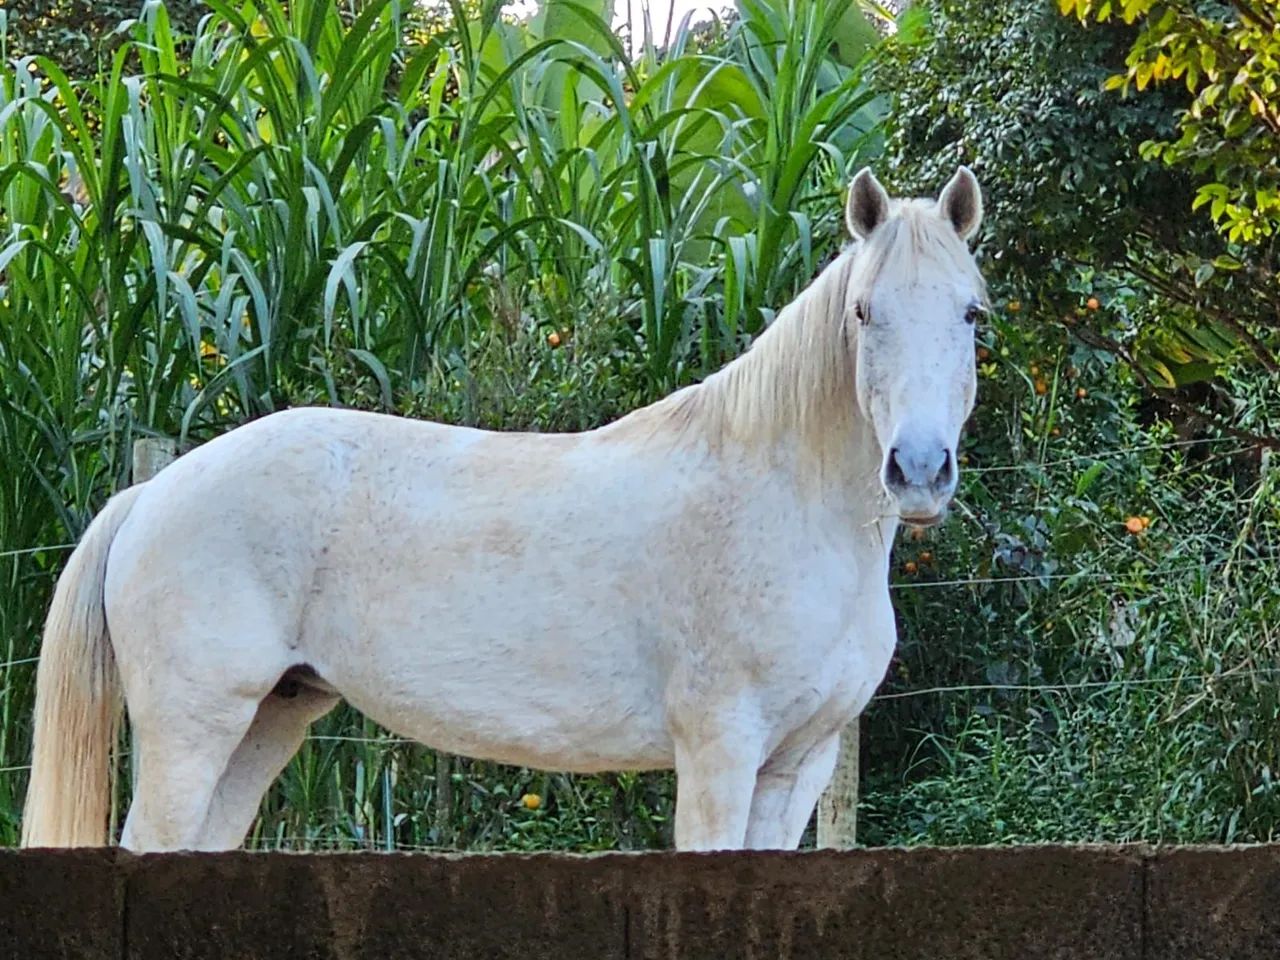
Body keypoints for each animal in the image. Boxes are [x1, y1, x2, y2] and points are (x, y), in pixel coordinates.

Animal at [21, 166, 986, 853]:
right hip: (194, 728)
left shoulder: (798, 766)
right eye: (863, 313)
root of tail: (153, 494)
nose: (919, 469)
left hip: (270, 719)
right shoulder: (720, 752)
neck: (782, 503)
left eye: (972, 314)